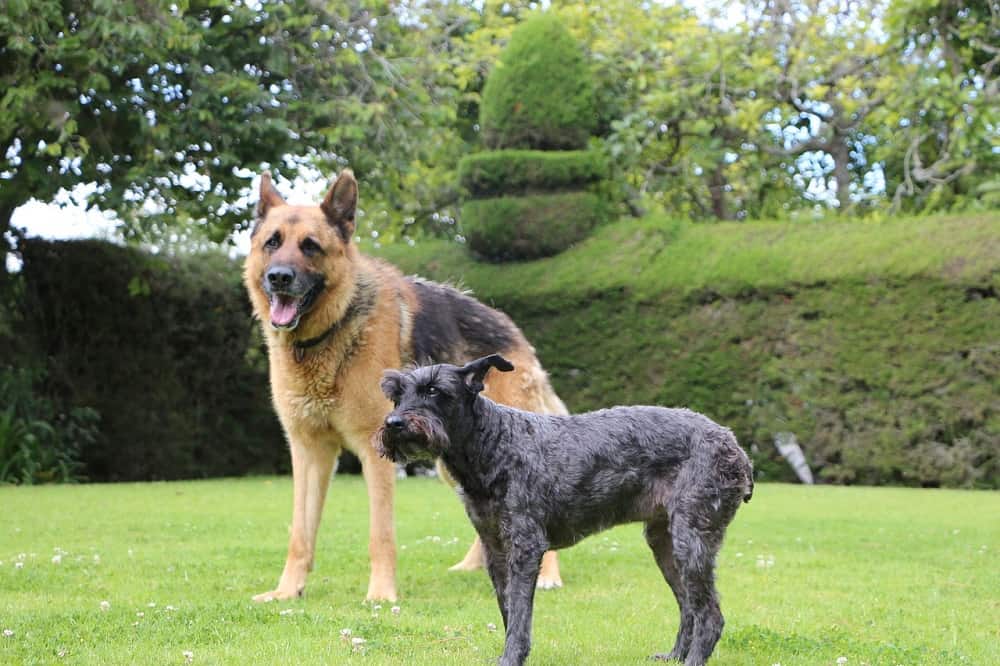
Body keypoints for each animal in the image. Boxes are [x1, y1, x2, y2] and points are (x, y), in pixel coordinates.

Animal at [245, 171, 568, 600]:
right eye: (272, 243)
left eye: (310, 246)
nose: (279, 277)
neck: (331, 331)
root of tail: (512, 331)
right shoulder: (309, 452)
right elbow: (300, 533)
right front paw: (287, 592)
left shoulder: (374, 451)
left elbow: (380, 535)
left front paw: (381, 594)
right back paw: (474, 565)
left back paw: (546, 574)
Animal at [376, 356, 752, 660]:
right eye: (396, 394)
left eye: (434, 390)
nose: (394, 423)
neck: (493, 444)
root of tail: (734, 447)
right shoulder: (494, 547)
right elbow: (506, 607)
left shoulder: (525, 546)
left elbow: (519, 614)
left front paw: (511, 657)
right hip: (665, 543)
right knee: (688, 606)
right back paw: (675, 655)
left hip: (692, 539)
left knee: (710, 615)